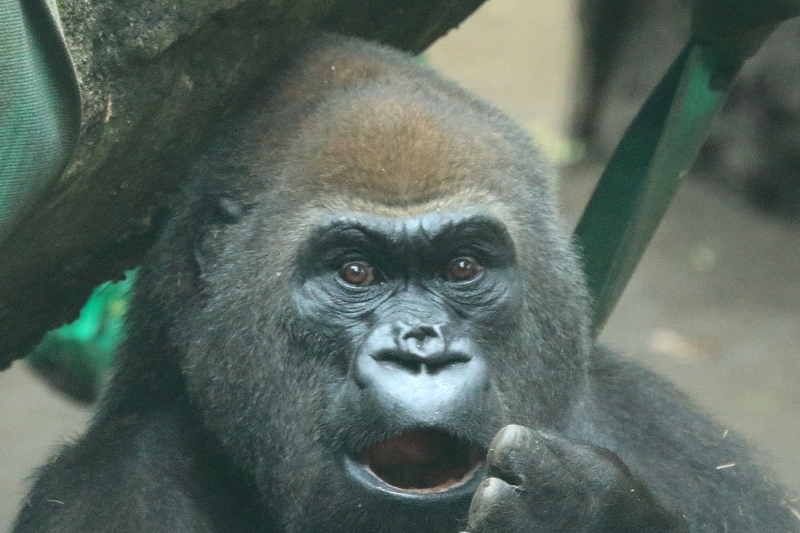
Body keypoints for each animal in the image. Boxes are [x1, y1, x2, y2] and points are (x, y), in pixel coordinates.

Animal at [14, 34, 800, 532]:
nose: (423, 350)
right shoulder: (115, 487)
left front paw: (590, 515)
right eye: (355, 272)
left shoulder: (673, 437)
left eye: (463, 268)